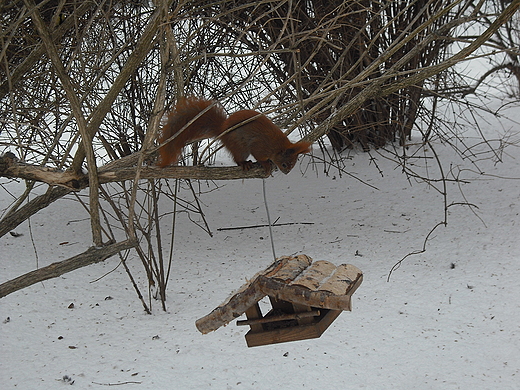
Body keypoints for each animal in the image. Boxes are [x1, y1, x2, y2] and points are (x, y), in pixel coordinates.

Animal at [154, 96, 308, 174]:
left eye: (293, 164)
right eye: (284, 164)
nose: (287, 172)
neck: (276, 146)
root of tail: (223, 130)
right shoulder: (259, 146)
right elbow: (259, 155)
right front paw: (266, 164)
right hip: (239, 146)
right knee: (238, 158)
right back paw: (244, 163)